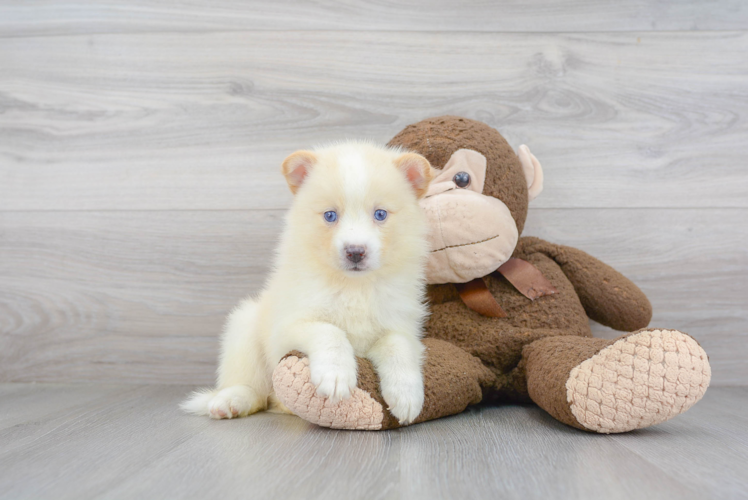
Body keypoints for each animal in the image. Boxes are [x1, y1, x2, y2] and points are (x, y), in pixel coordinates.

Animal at [181, 141, 436, 426]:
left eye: (380, 214)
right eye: (330, 215)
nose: (355, 252)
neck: (354, 287)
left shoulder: (400, 325)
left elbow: (399, 347)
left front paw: (406, 395)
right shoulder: (289, 326)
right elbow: (328, 331)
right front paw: (336, 375)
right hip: (244, 328)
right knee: (252, 388)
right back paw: (231, 400)